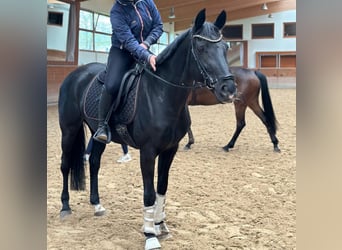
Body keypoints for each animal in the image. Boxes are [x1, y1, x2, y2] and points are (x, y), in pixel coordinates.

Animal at [57, 8, 236, 249]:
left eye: (225, 47)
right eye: (200, 48)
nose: (229, 89)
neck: (161, 94)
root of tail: (75, 75)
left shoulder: (170, 150)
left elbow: (162, 188)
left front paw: (161, 225)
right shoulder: (148, 152)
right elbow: (149, 193)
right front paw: (150, 235)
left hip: (97, 135)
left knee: (94, 163)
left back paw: (97, 205)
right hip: (69, 130)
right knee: (65, 164)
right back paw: (65, 207)